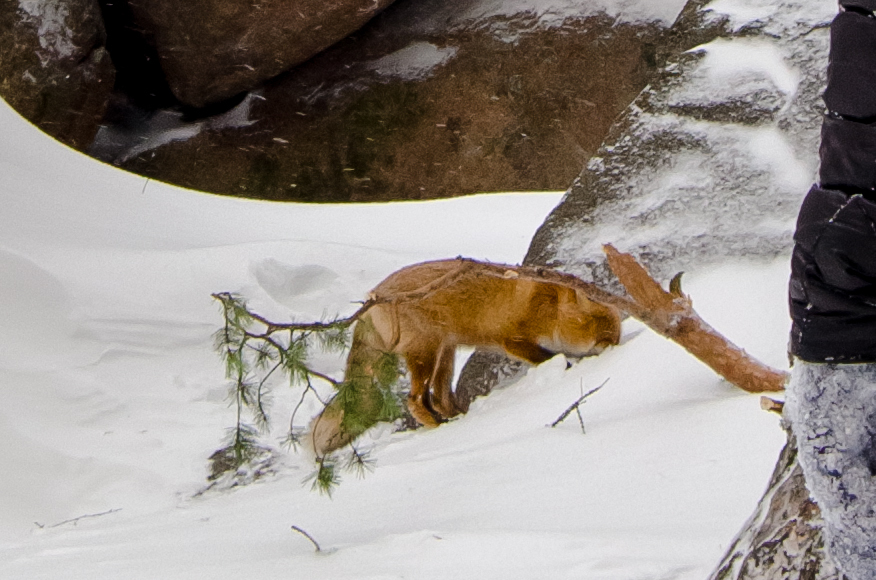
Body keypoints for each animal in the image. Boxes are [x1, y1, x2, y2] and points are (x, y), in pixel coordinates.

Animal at [308, 258, 624, 458]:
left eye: (615, 332)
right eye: (602, 333)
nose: (615, 345)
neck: (549, 306)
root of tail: (372, 296)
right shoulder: (513, 341)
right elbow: (554, 357)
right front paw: (569, 365)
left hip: (444, 353)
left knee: (439, 398)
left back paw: (458, 418)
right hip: (427, 352)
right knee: (415, 400)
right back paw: (441, 428)